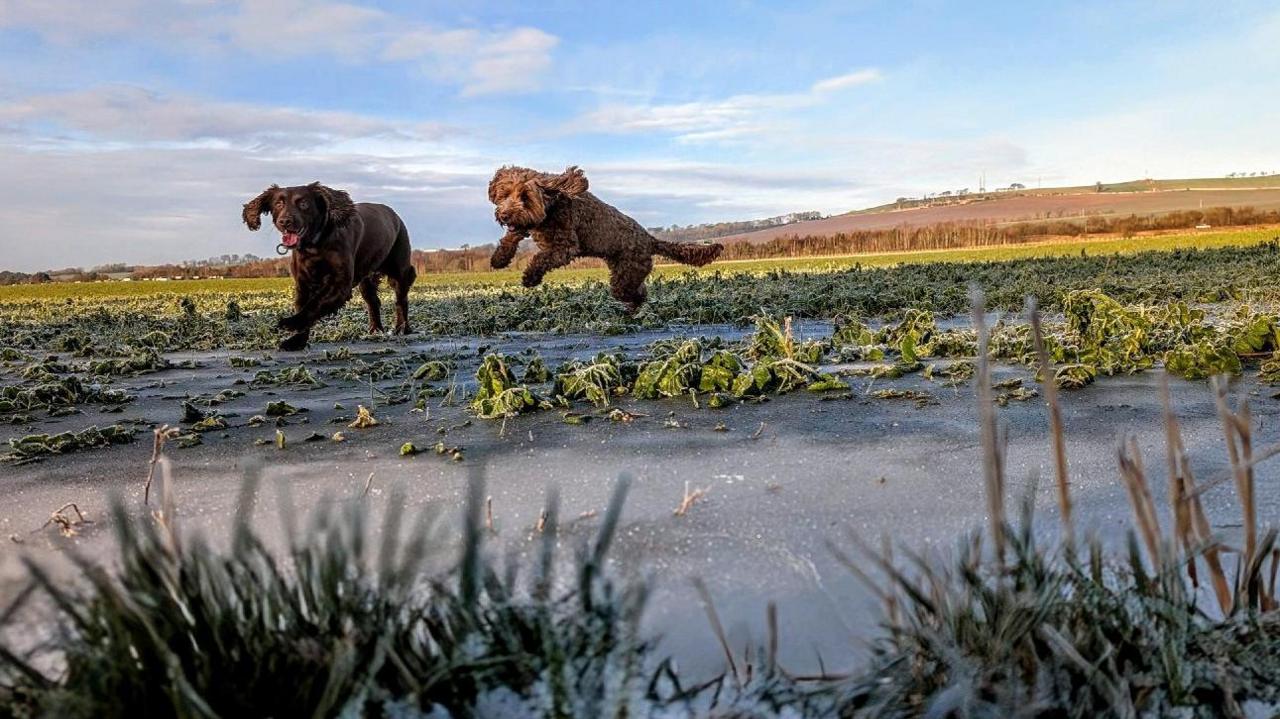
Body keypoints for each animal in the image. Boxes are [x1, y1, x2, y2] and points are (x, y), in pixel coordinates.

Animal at [240, 181, 414, 350]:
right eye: (278, 204)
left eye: (303, 204)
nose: (285, 221)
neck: (314, 246)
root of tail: (394, 214)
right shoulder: (303, 284)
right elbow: (304, 306)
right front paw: (297, 341)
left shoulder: (340, 284)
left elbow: (315, 304)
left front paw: (292, 322)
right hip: (366, 278)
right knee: (373, 302)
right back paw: (375, 330)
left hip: (399, 270)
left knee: (401, 300)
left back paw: (402, 328)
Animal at [486, 165, 721, 310]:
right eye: (504, 194)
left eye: (525, 197)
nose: (504, 215)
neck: (552, 206)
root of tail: (650, 239)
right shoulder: (527, 224)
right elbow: (511, 237)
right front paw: (499, 259)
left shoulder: (566, 246)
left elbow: (542, 258)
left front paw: (530, 277)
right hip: (624, 271)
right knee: (639, 290)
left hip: (626, 274)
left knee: (632, 293)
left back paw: (634, 308)